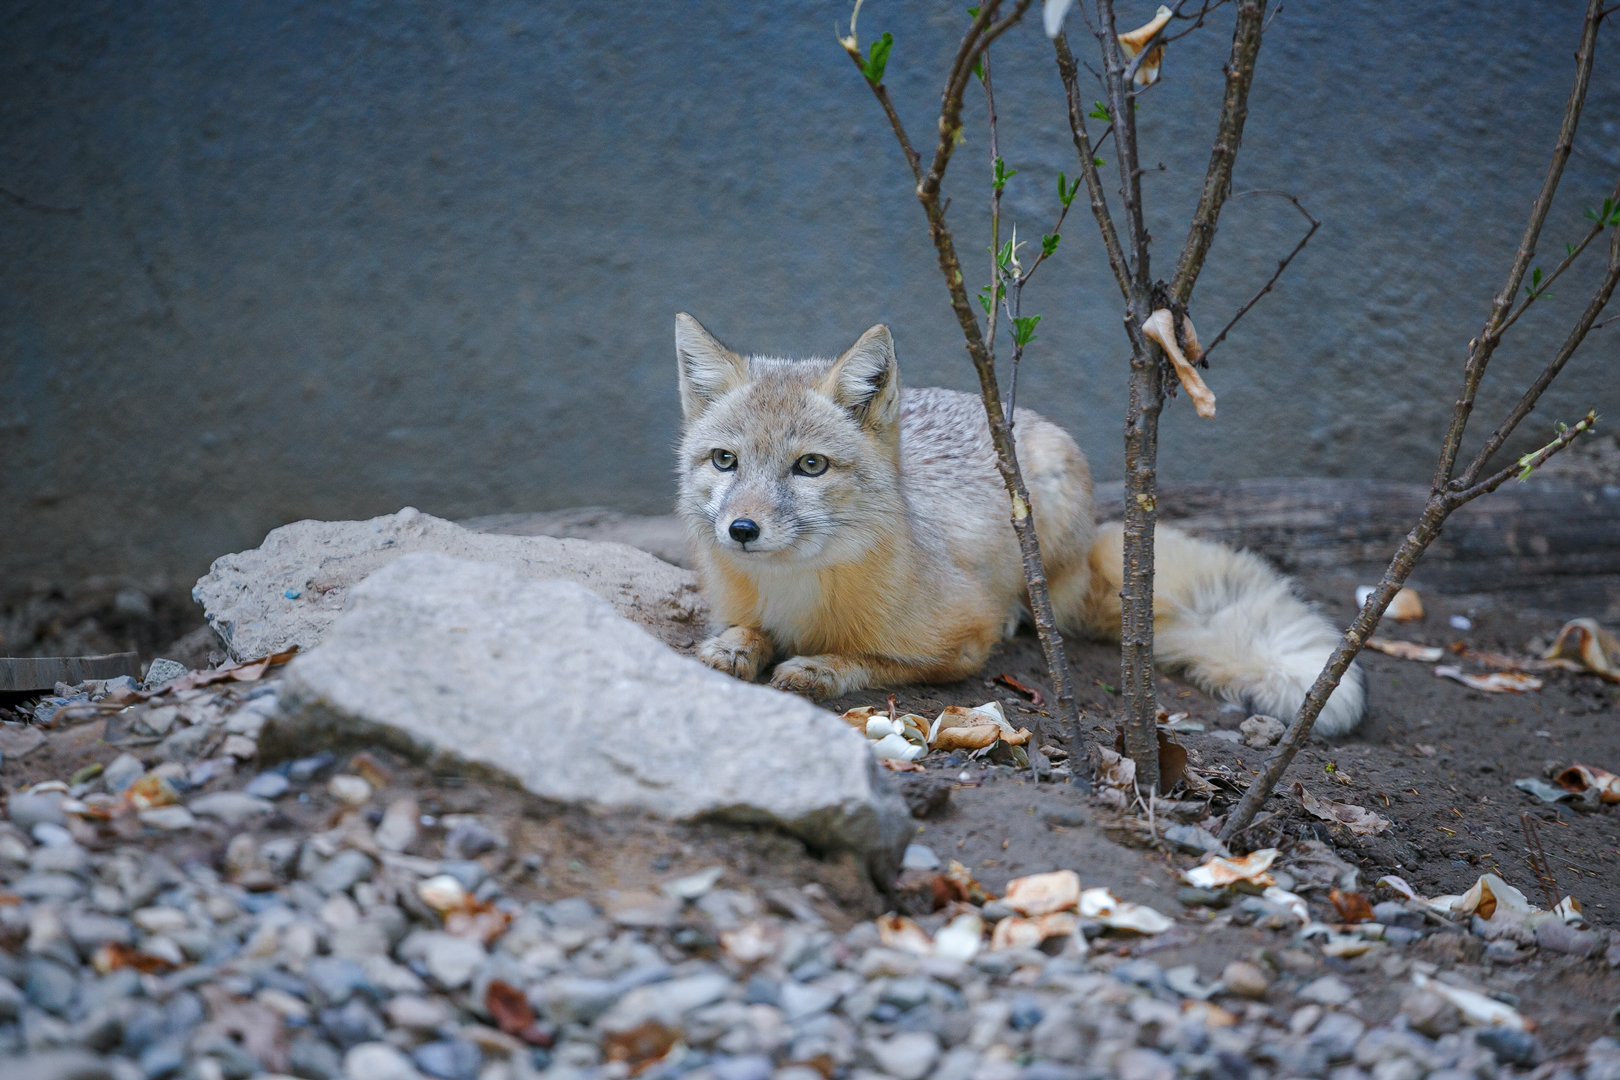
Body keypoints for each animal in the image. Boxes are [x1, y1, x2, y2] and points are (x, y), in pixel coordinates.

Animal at [673, 313, 1367, 736]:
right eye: (725, 460)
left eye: (810, 466)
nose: (741, 530)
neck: (795, 598)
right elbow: (740, 631)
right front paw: (737, 644)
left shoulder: (961, 642)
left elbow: (877, 659)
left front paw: (820, 667)